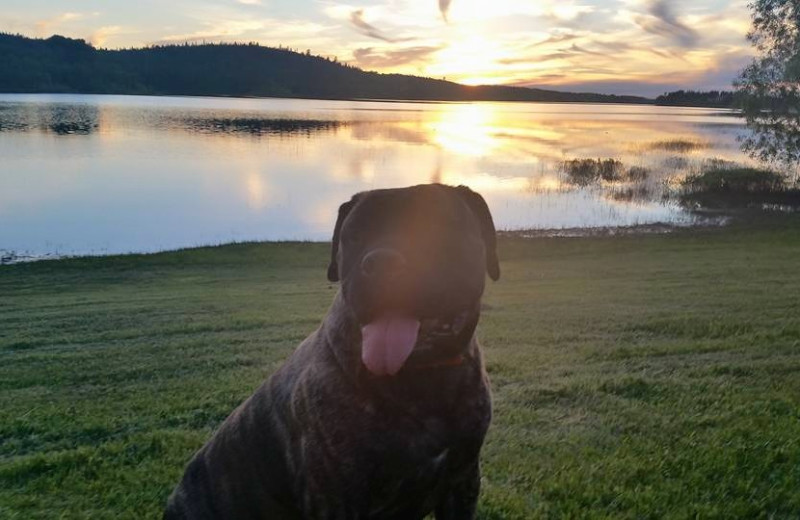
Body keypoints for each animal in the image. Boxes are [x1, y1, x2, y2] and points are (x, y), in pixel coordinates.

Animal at [164, 184, 500, 520]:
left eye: (436, 226)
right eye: (354, 236)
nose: (382, 262)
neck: (422, 381)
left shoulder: (463, 479)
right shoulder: (337, 497)